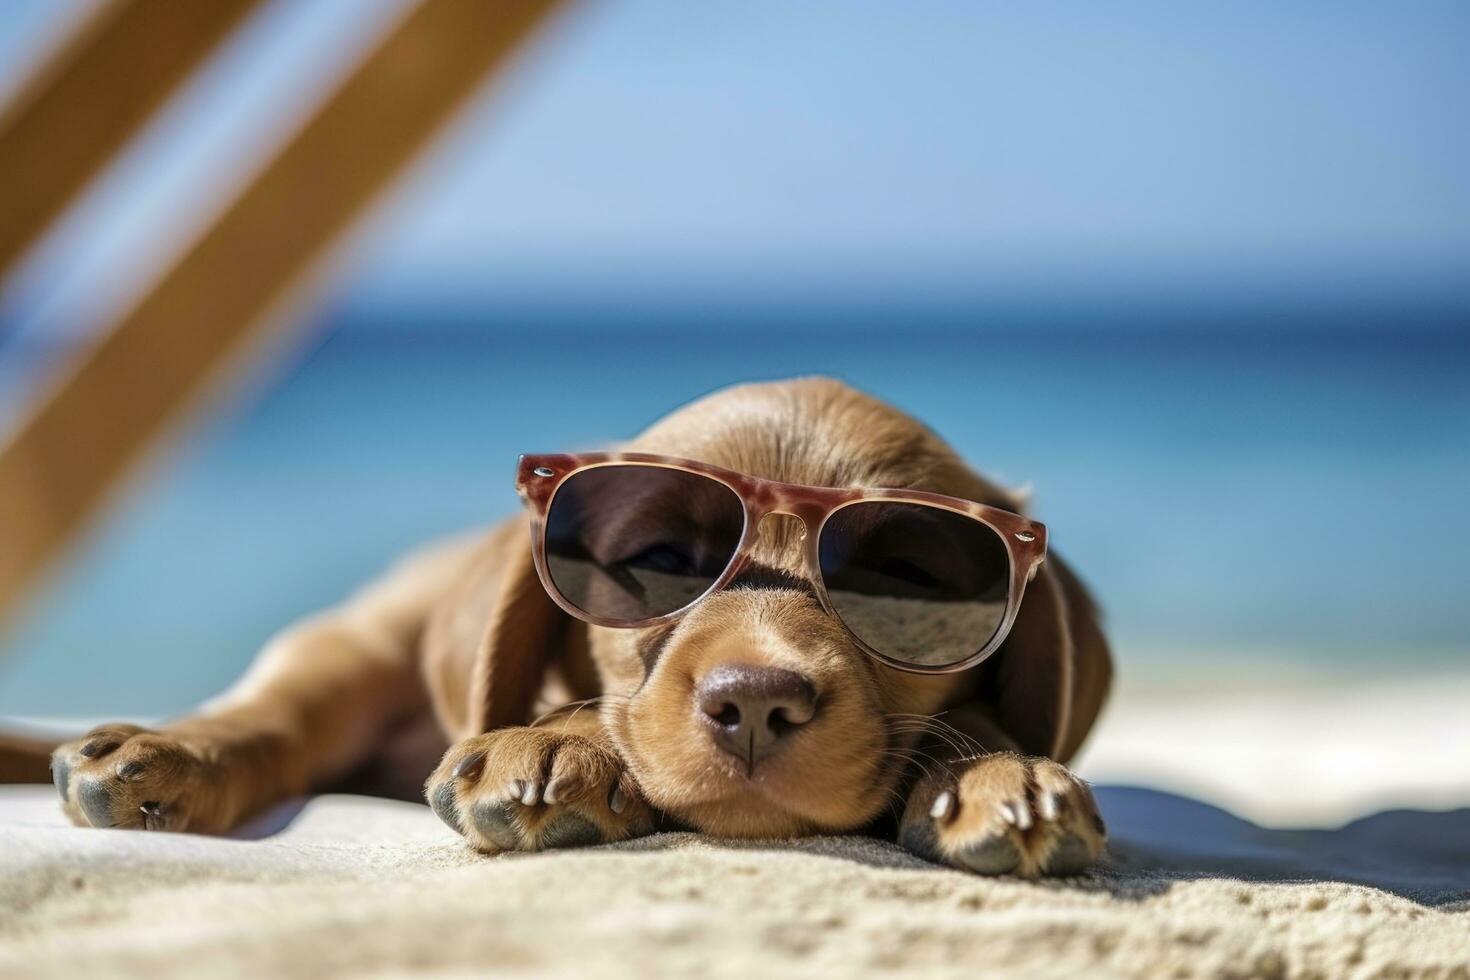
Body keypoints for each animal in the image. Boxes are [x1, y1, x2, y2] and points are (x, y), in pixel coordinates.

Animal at [34, 379, 1105, 875]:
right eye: (663, 560)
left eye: (898, 581)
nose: (757, 703)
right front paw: (557, 748)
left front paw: (993, 770)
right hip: (362, 642)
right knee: (282, 715)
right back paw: (161, 757)